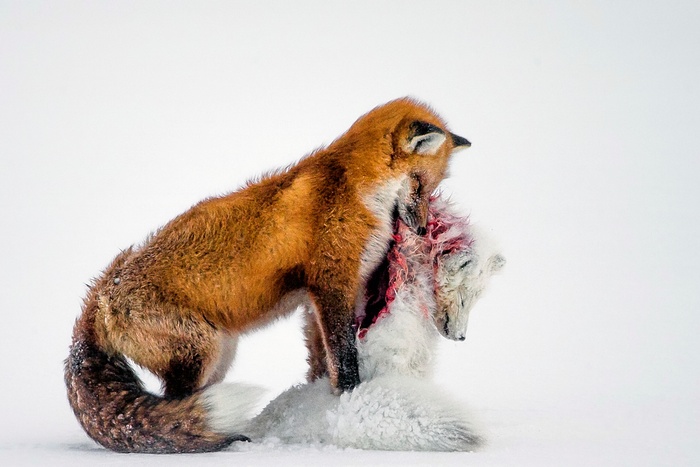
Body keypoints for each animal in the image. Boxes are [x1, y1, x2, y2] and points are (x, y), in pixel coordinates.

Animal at [64, 97, 471, 453]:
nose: (421, 230)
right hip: (202, 351)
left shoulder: (318, 300)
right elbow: (343, 359)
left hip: (219, 355)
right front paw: (350, 401)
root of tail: (99, 296)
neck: (355, 189)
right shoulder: (331, 284)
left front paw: (322, 404)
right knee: (174, 413)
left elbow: (321, 362)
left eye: (431, 188)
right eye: (419, 183)